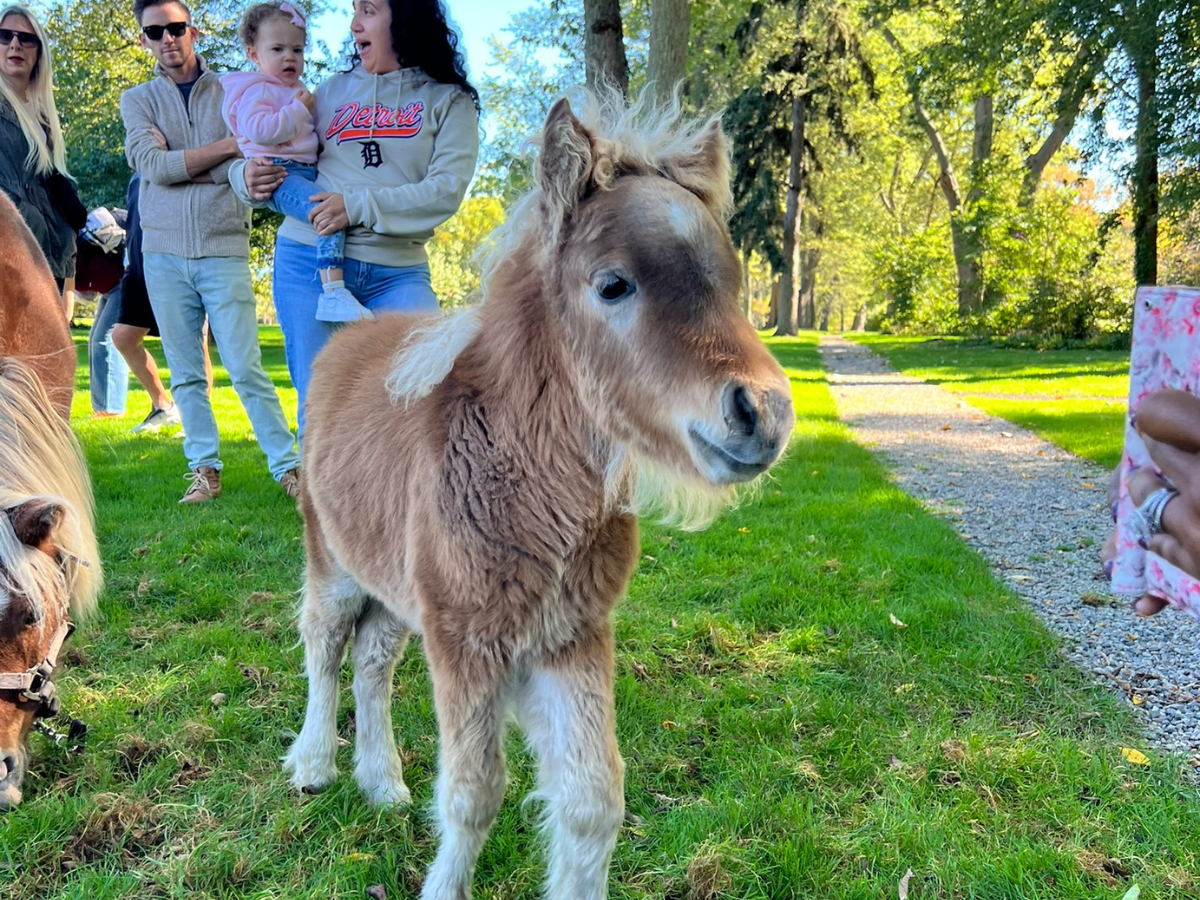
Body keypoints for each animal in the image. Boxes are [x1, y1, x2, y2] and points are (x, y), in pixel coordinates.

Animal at [284, 95, 797, 900]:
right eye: (613, 284)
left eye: (730, 283)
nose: (765, 415)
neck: (528, 488)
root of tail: (347, 337)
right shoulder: (465, 641)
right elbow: (474, 792)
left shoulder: (571, 635)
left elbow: (593, 799)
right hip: (333, 559)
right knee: (326, 646)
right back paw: (312, 766)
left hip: (394, 584)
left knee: (372, 661)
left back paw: (382, 783)